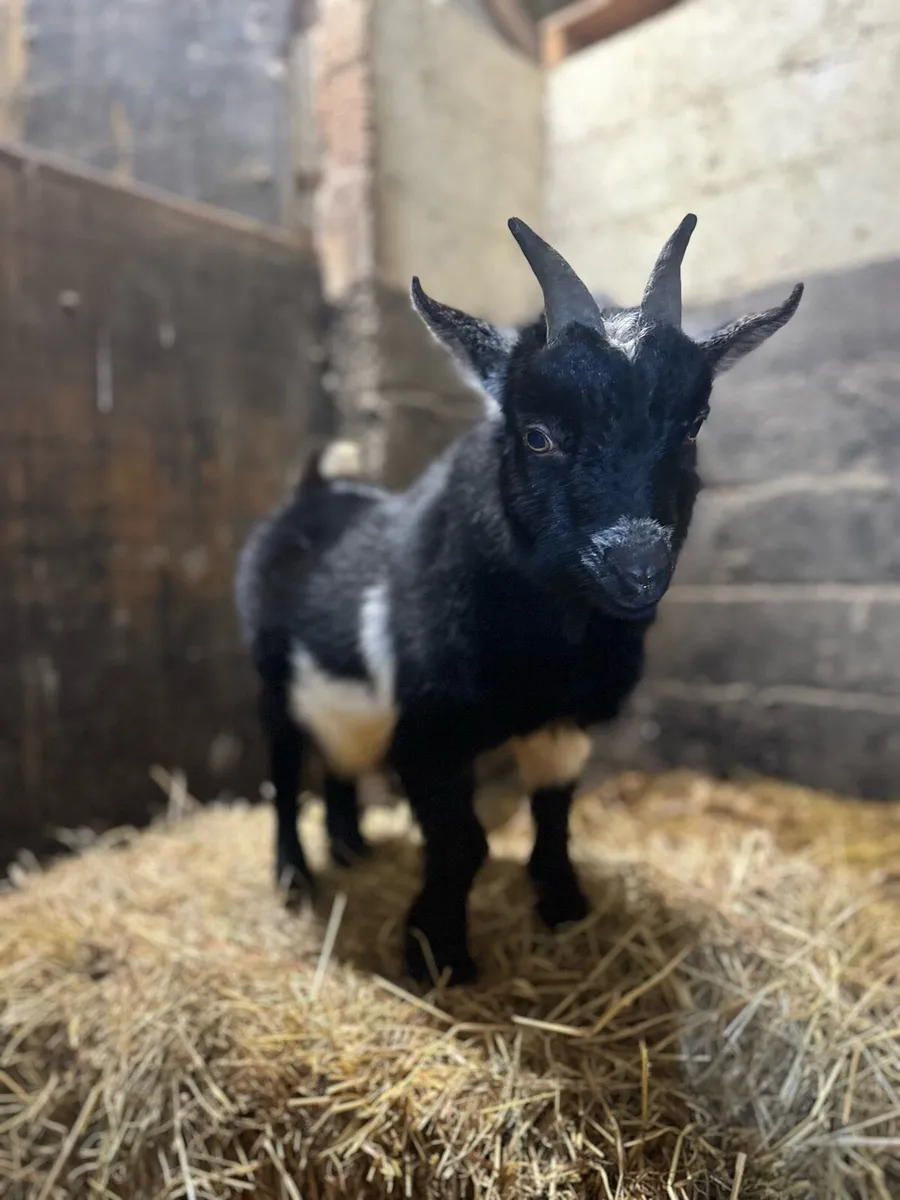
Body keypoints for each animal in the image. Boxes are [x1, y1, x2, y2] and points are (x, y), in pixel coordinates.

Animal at [235, 215, 803, 984]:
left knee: (341, 759)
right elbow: (464, 841)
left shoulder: (561, 721)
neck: (550, 647)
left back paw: (354, 847)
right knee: (286, 770)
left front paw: (564, 909)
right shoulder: (430, 733)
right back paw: (295, 878)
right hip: (271, 679)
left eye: (693, 425)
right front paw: (438, 954)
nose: (638, 567)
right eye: (536, 434)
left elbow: (555, 816)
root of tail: (313, 493)